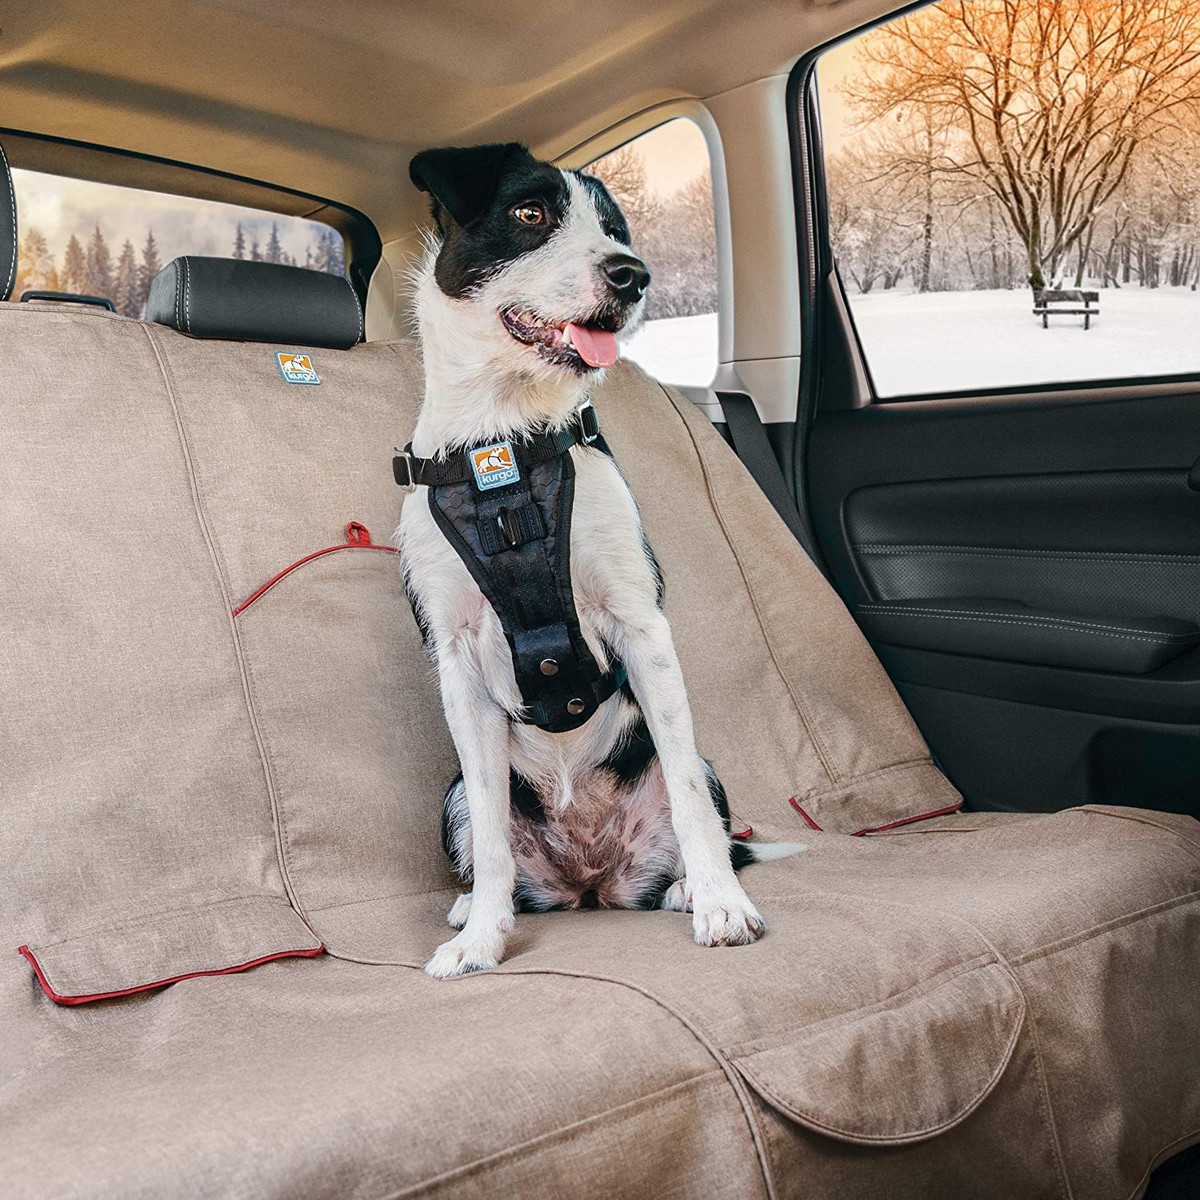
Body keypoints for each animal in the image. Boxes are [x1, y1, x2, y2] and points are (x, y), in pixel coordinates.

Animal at [398, 145, 801, 979]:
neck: (504, 444)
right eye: (529, 214)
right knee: (495, 842)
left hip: (704, 773)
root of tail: (592, 883)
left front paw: (722, 905)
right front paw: (480, 941)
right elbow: (491, 834)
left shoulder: (640, 625)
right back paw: (477, 908)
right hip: (451, 795)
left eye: (615, 229)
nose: (632, 275)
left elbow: (687, 796)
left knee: (695, 811)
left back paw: (688, 887)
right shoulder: (455, 661)